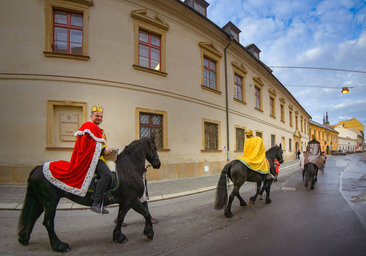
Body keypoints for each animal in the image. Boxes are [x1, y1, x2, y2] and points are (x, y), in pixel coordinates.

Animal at [17, 137, 160, 251]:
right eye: (154, 147)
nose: (158, 164)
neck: (128, 167)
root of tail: (38, 168)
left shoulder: (125, 201)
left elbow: (121, 218)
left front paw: (118, 236)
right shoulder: (132, 200)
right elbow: (145, 213)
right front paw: (149, 232)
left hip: (39, 201)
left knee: (32, 216)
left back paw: (24, 238)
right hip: (50, 201)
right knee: (48, 222)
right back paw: (59, 245)